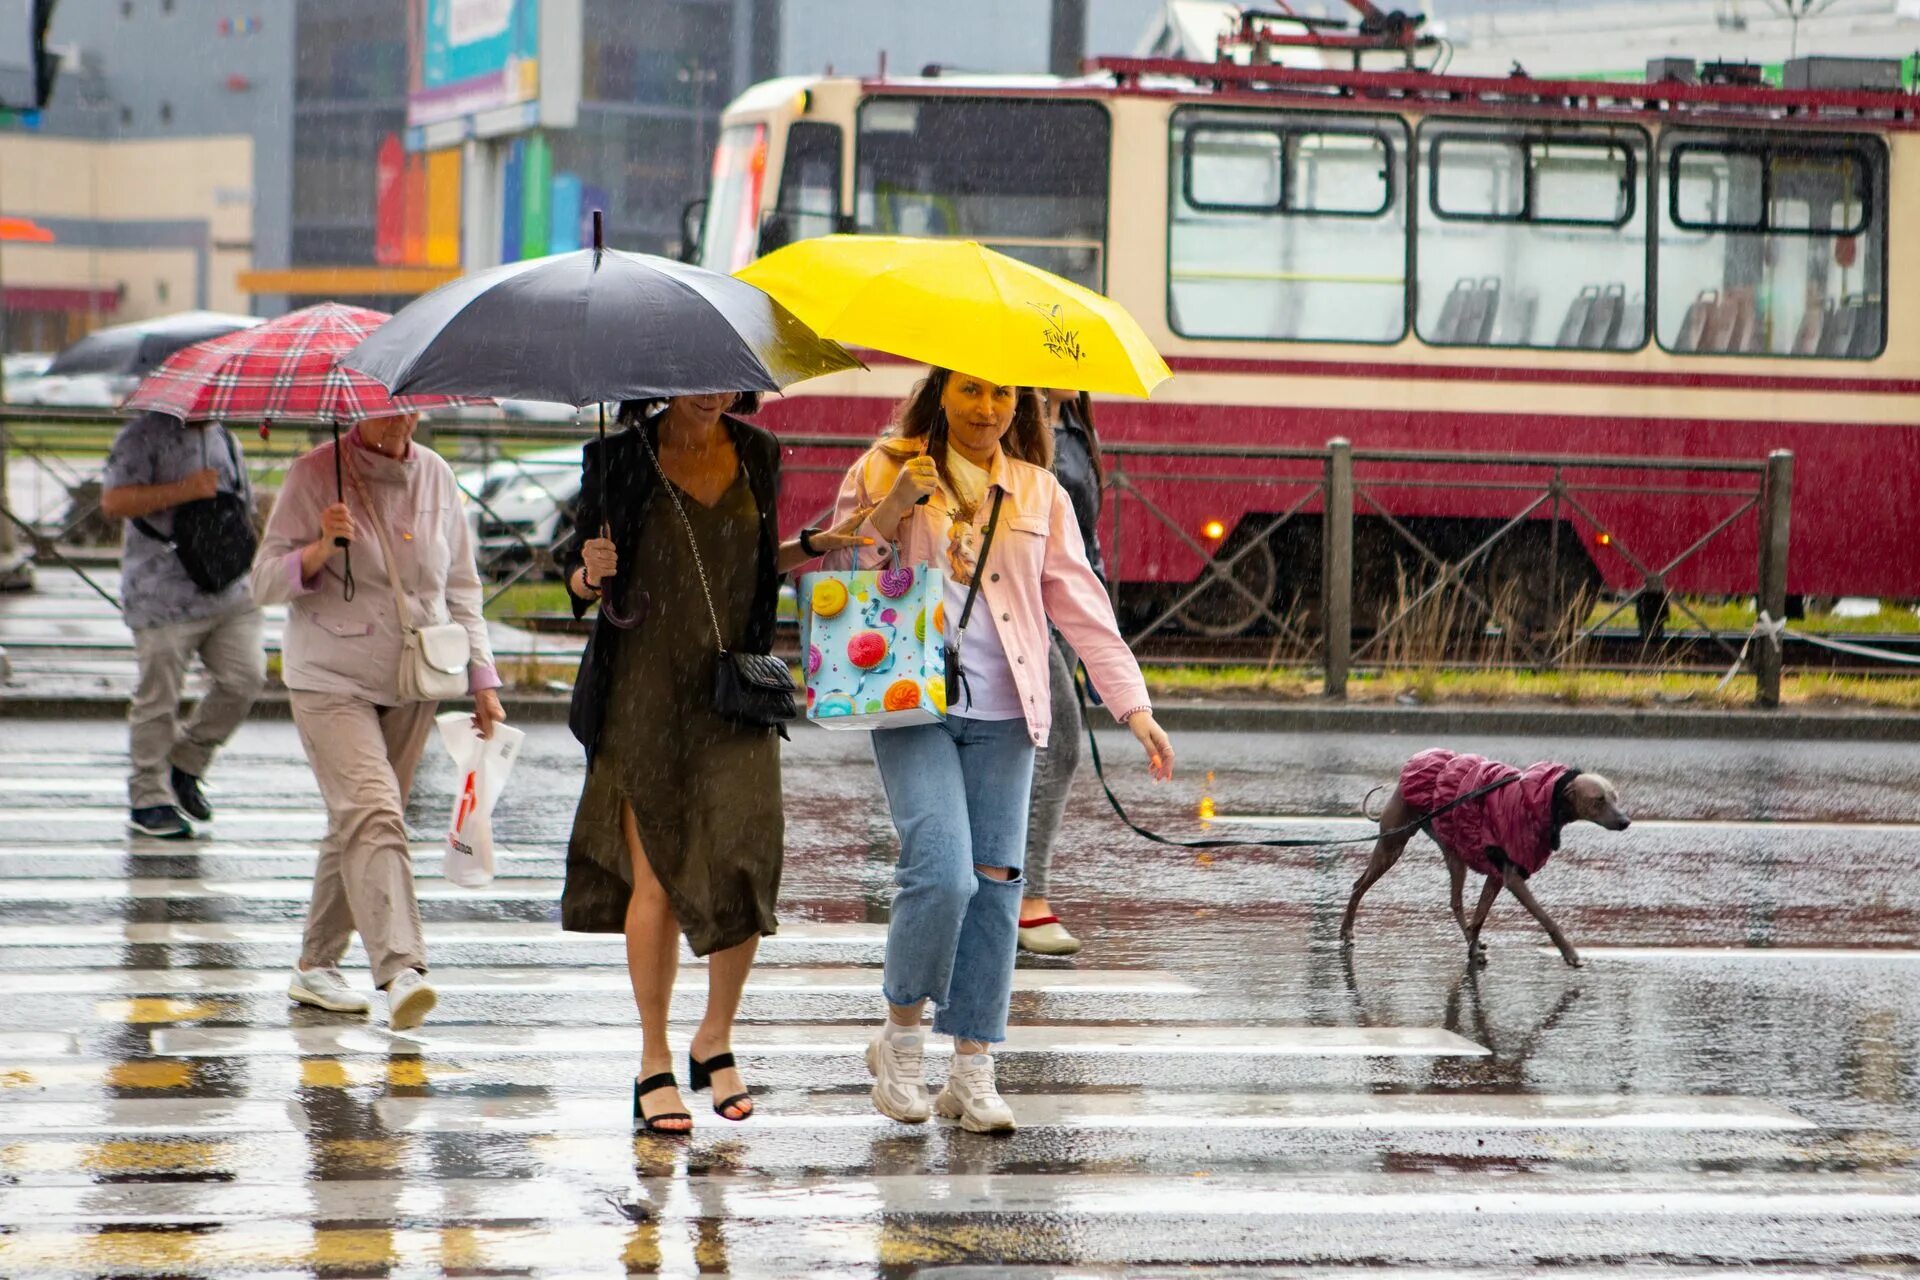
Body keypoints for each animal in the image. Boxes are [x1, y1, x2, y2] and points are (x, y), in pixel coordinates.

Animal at [1336, 744, 1635, 967]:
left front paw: (1474, 945)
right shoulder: (1513, 877)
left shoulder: (1497, 875)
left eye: (1615, 798)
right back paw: (1346, 931)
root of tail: (1402, 781)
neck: (1541, 800)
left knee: (1455, 902)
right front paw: (1569, 953)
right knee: (1360, 886)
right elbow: (1545, 917)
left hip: (1453, 853)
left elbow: (1479, 916)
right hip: (1393, 846)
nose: (1625, 822)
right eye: (1598, 800)